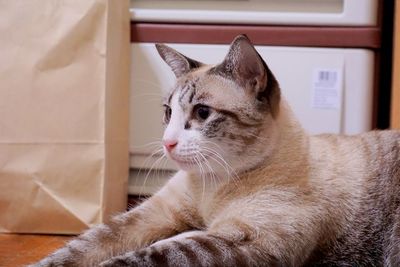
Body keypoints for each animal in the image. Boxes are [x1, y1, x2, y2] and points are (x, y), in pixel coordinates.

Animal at [32, 34, 400, 266]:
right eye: (168, 112)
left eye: (202, 113)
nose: (167, 142)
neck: (211, 186)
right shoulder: (155, 214)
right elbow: (83, 247)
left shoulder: (245, 238)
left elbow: (144, 257)